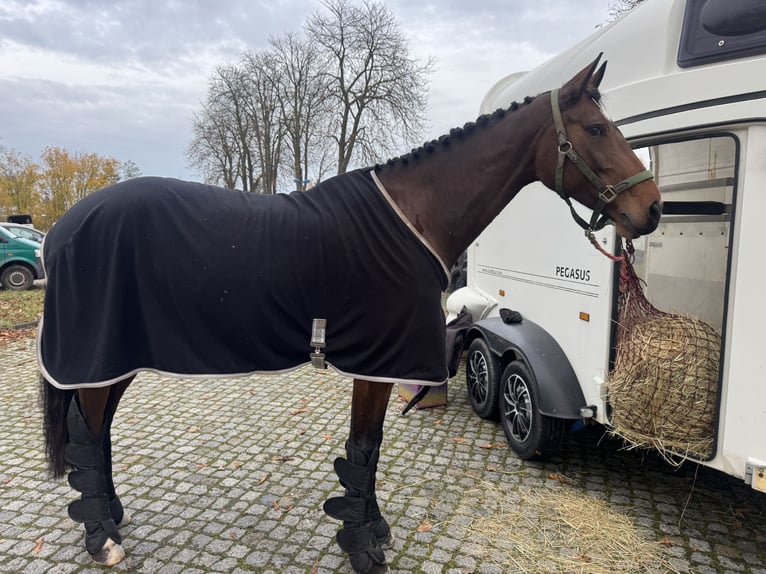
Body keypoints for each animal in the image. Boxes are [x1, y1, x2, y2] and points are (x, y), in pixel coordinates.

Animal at [38, 55, 661, 574]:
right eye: (597, 129)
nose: (652, 209)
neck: (415, 215)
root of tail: (65, 227)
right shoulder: (376, 361)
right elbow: (364, 449)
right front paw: (364, 549)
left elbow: (373, 449)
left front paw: (375, 532)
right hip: (98, 356)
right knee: (88, 434)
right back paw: (102, 539)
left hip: (117, 358)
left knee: (97, 430)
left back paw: (111, 519)